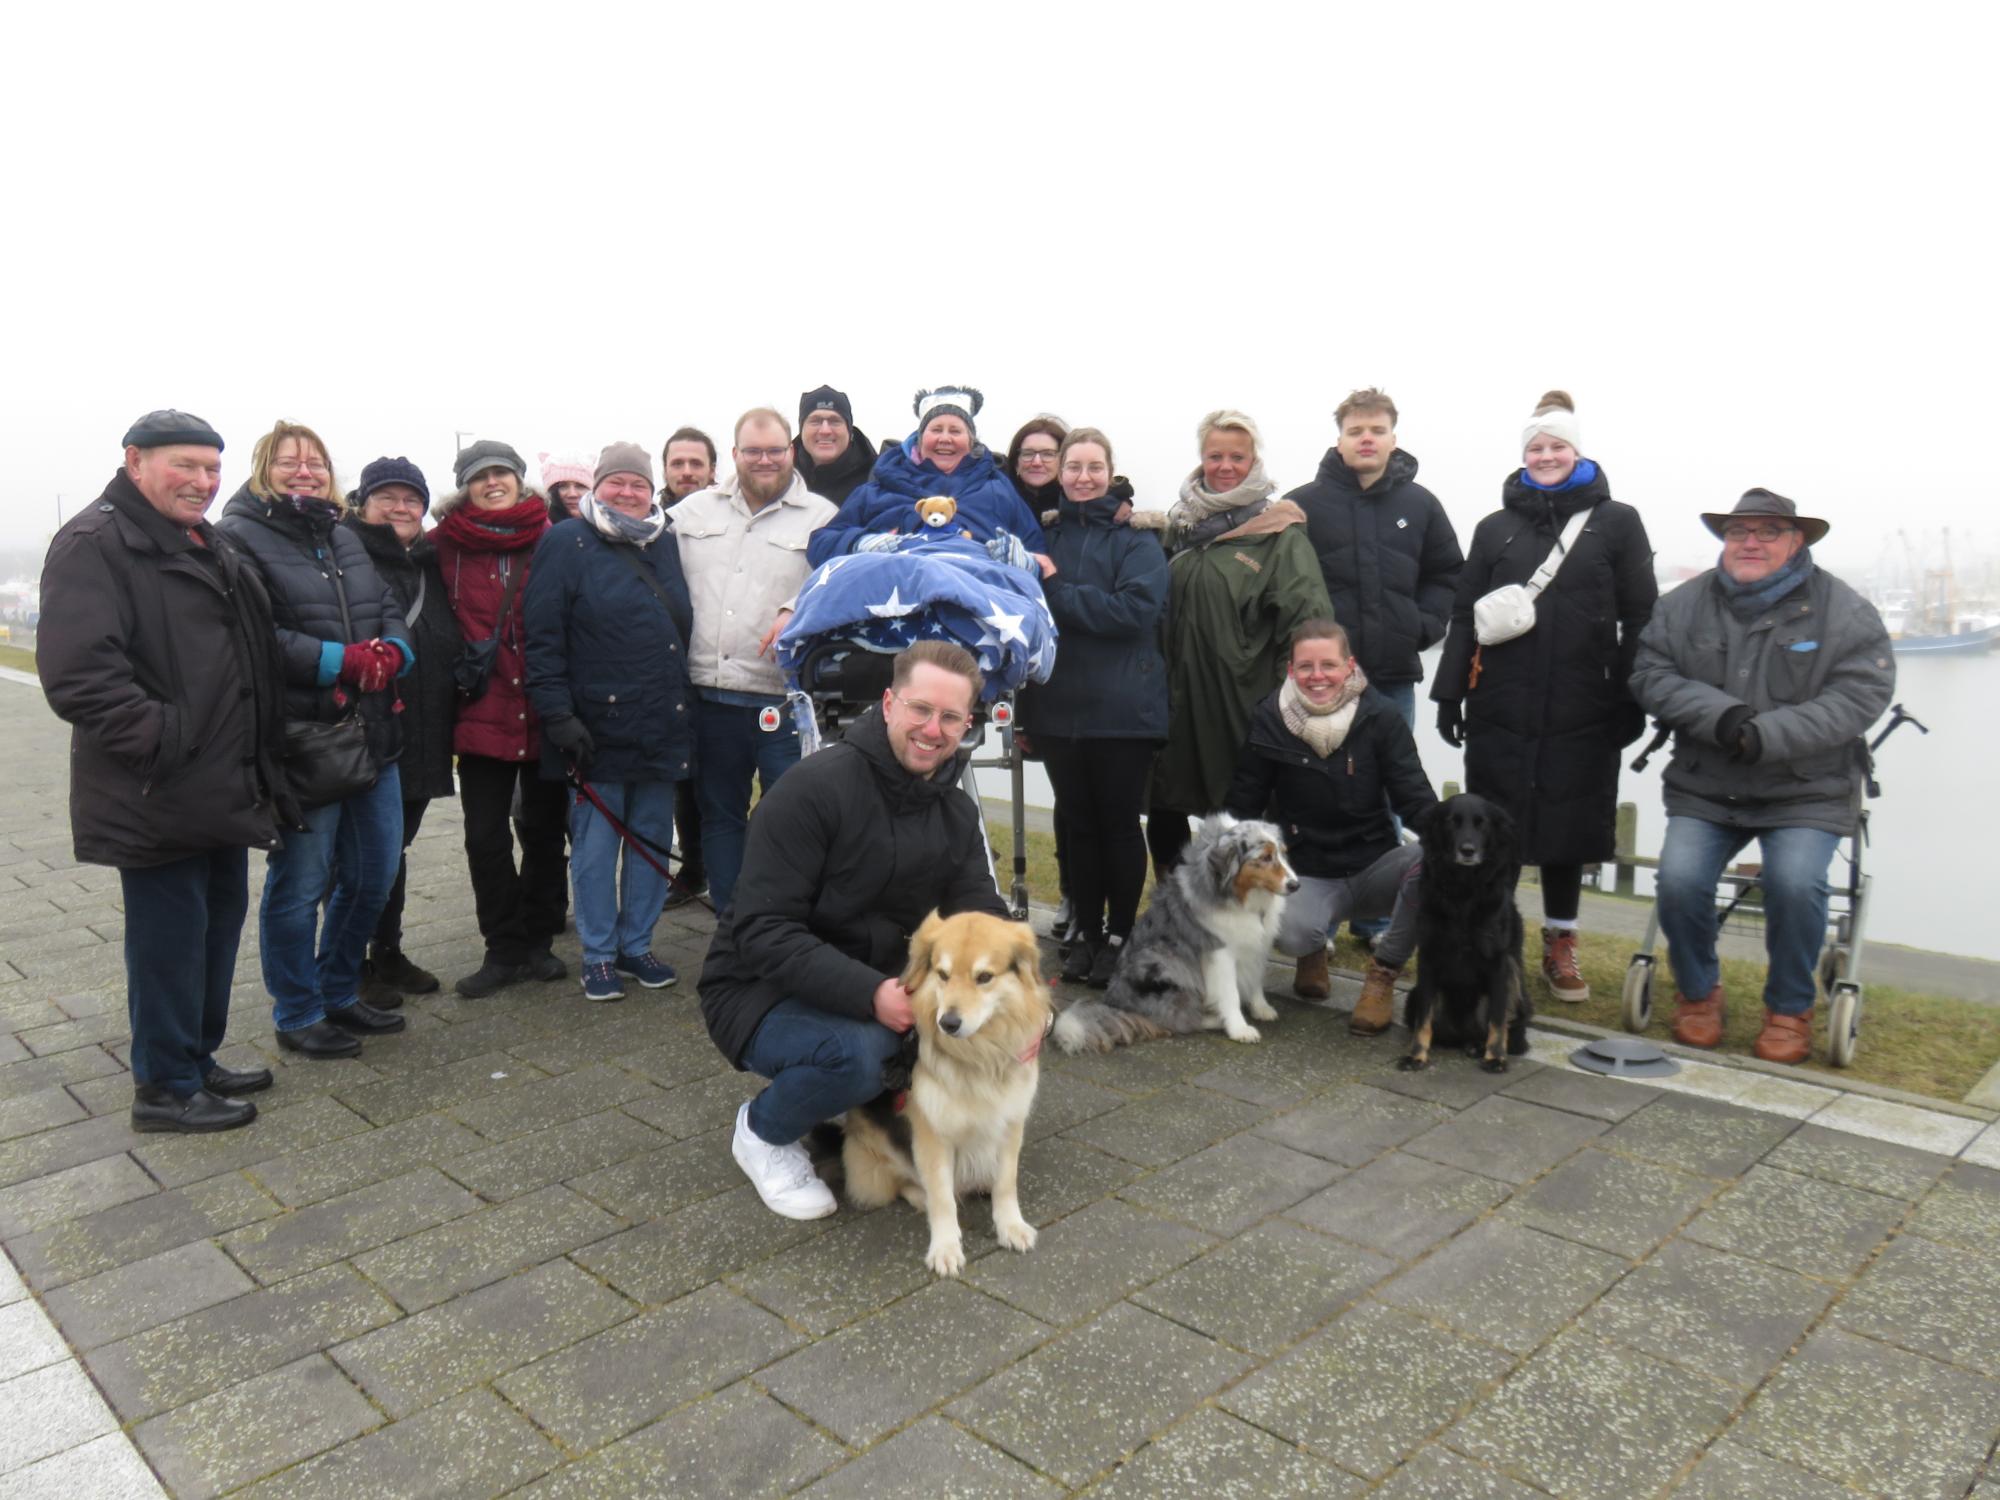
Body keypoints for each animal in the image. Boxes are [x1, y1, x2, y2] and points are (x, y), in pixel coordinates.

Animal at [841, 910, 1052, 1277]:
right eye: (942, 974)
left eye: (984, 977)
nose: (948, 1023)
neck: (978, 1055)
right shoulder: (931, 1134)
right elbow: (942, 1198)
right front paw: (945, 1248)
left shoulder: (1010, 1122)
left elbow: (1006, 1182)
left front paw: (1010, 1226)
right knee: (906, 1185)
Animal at [1053, 813, 1298, 1052]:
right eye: (1265, 857)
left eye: (1282, 854)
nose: (1296, 885)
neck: (1242, 896)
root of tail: (1120, 1006)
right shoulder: (1220, 952)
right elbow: (1230, 994)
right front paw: (1240, 1029)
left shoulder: (1257, 945)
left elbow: (1256, 979)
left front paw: (1262, 1008)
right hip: (1167, 963)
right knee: (1173, 1017)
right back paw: (1213, 1019)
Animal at [1401, 794, 1532, 1073]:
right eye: (1452, 822)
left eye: (1482, 824)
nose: (1468, 850)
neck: (1463, 888)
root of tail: (1462, 1035)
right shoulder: (1428, 957)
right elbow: (1423, 1019)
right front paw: (1417, 1055)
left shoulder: (1498, 961)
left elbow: (1497, 1019)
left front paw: (1496, 1057)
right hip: (1415, 997)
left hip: (1513, 977)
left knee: (1509, 1028)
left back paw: (1483, 1047)